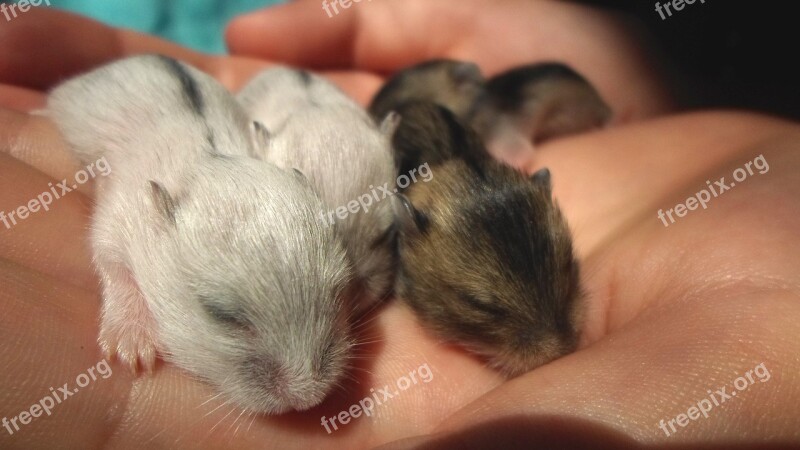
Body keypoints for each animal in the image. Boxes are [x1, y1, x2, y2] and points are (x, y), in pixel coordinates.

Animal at [47, 54, 354, 414]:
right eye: (220, 314)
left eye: (339, 291)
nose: (308, 399)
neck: (205, 161)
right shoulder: (116, 219)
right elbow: (114, 267)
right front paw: (135, 353)